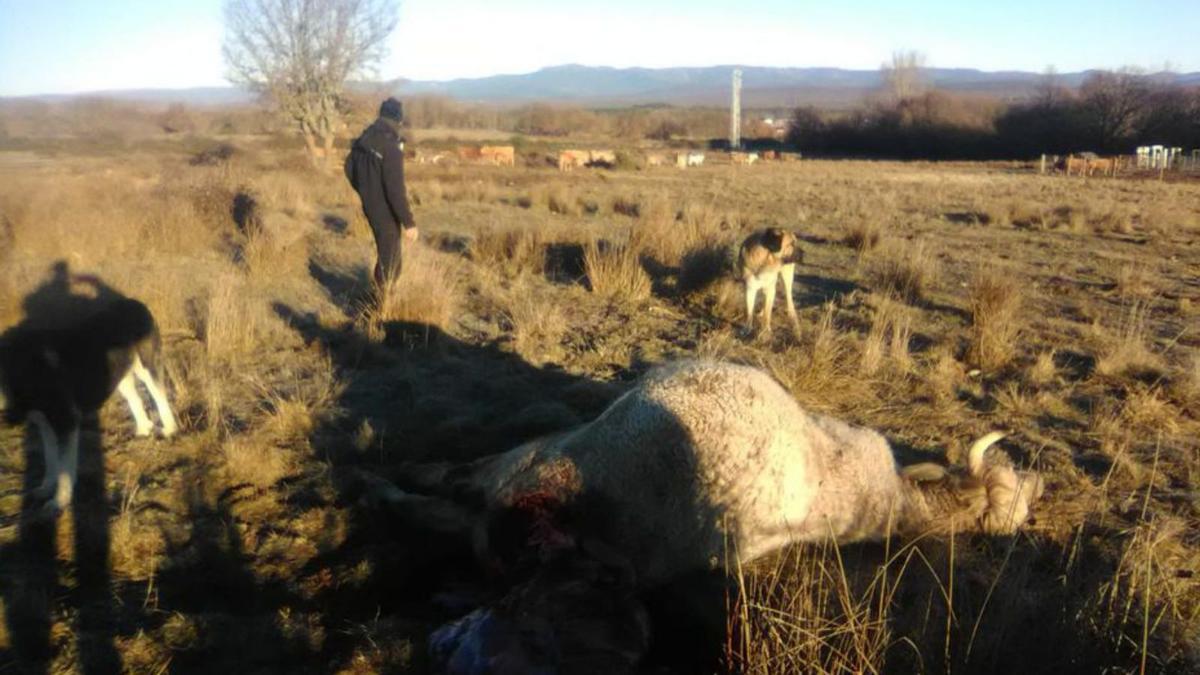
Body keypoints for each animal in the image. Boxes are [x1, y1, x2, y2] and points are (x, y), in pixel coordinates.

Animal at [0, 296, 176, 511]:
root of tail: (135, 302)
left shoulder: (66, 420)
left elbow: (64, 467)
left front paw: (59, 501)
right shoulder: (45, 423)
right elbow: (50, 459)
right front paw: (46, 487)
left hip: (147, 366)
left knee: (160, 396)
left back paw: (169, 429)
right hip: (118, 375)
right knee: (135, 399)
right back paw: (143, 429)